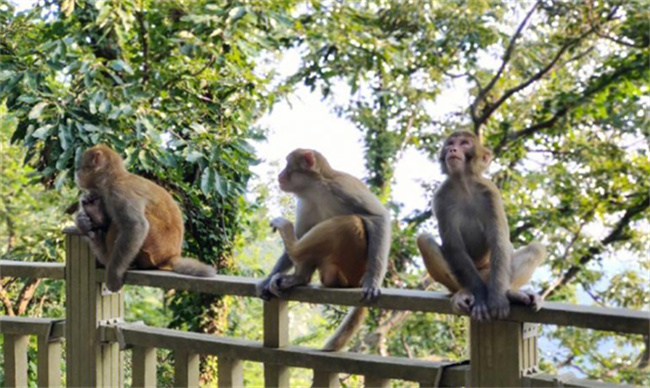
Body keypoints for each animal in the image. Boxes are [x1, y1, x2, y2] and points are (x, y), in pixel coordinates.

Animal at [73, 145, 215, 292]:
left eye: (82, 166)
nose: (77, 172)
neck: (112, 179)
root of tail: (172, 255)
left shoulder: (119, 192)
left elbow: (136, 226)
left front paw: (114, 274)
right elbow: (106, 221)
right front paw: (86, 219)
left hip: (156, 245)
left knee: (125, 224)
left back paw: (108, 258)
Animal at [256, 149, 390, 352]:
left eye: (288, 164)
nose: (280, 175)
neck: (315, 189)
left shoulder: (342, 188)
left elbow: (378, 217)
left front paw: (373, 281)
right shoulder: (305, 203)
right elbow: (303, 232)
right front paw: (269, 277)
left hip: (352, 266)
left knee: (351, 222)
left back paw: (292, 246)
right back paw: (299, 277)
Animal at [416, 132, 540, 320]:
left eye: (464, 143)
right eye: (451, 143)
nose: (453, 149)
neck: (464, 184)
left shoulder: (491, 193)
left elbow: (499, 241)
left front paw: (498, 299)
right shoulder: (441, 197)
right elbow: (454, 246)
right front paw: (481, 299)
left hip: (490, 274)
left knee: (536, 249)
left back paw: (510, 292)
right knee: (423, 240)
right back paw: (464, 292)